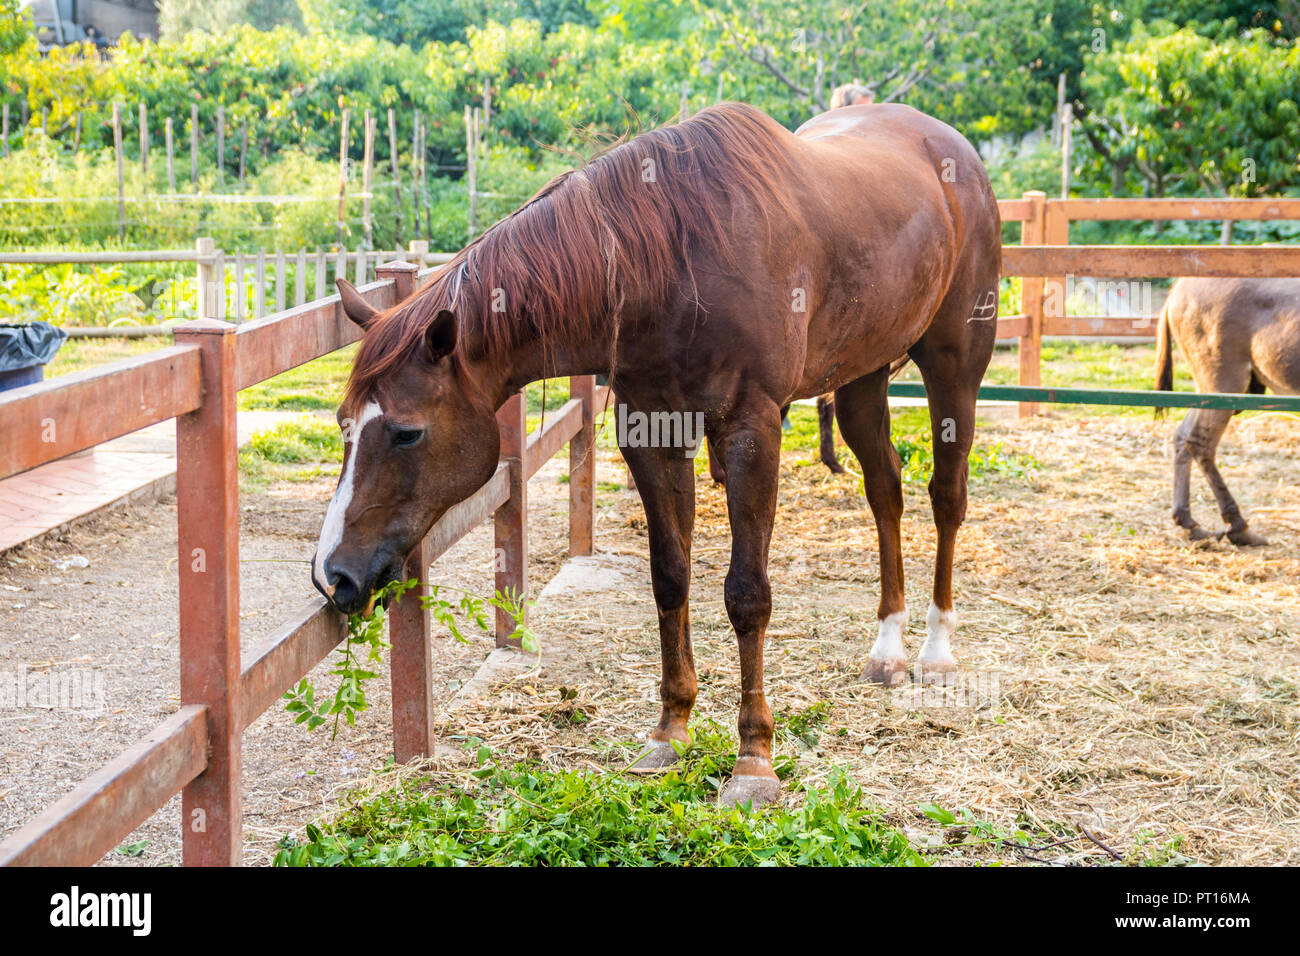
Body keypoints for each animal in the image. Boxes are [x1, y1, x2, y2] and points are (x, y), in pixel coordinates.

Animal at [313, 101, 1002, 806]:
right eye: (343, 424)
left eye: (406, 432)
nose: (334, 575)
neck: (671, 261)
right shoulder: (649, 429)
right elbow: (669, 576)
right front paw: (672, 730)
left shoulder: (751, 429)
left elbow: (747, 593)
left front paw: (754, 760)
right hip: (863, 374)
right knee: (885, 488)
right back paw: (888, 647)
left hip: (955, 364)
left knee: (946, 497)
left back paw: (936, 651)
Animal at [1156, 276, 1300, 546]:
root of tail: (1181, 284)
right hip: (1223, 384)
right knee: (1200, 442)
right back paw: (1237, 525)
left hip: (1208, 390)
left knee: (1182, 435)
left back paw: (1189, 523)